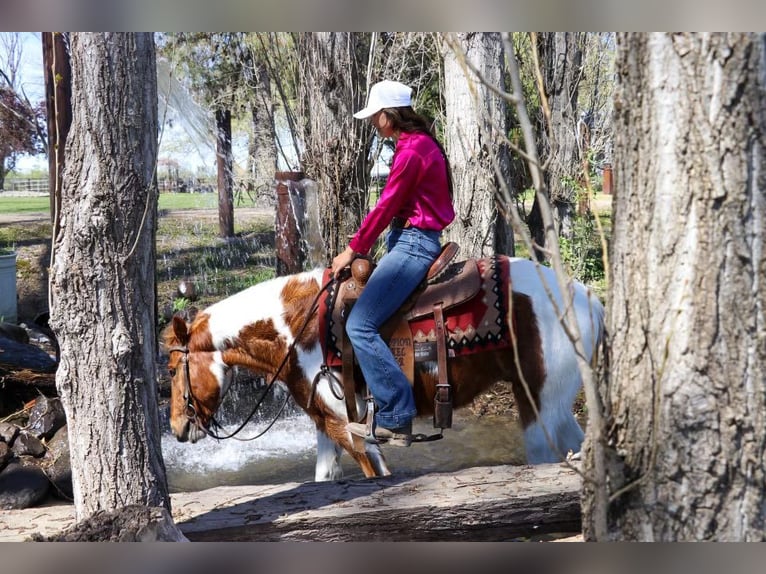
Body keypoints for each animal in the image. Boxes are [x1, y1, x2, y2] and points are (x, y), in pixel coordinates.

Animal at [162, 256, 608, 482]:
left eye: (169, 369)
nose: (178, 428)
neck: (298, 327)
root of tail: (589, 297)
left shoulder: (353, 429)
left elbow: (375, 477)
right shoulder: (327, 423)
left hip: (540, 406)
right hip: (557, 406)